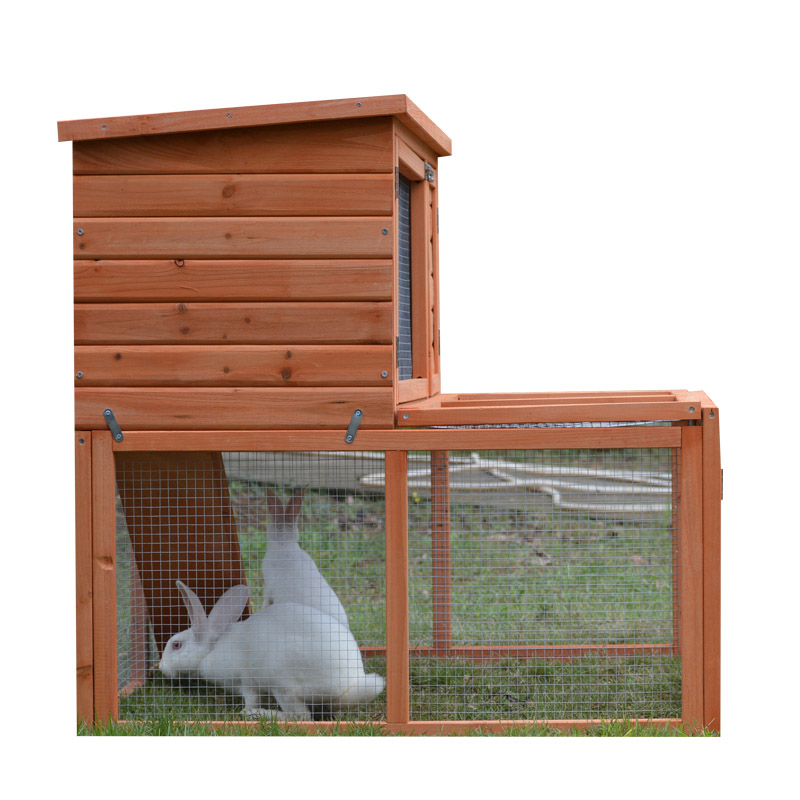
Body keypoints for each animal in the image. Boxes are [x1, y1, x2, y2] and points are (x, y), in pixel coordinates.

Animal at [158, 580, 385, 720]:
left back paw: (259, 715)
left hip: (283, 684)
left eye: (176, 645)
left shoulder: (247, 682)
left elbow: (251, 699)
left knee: (300, 716)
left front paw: (246, 711)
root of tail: (350, 684)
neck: (211, 650)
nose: (161, 668)